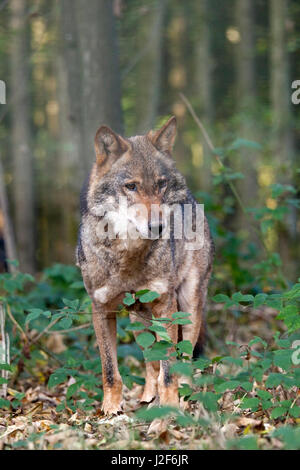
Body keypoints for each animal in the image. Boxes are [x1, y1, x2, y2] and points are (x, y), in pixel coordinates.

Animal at [76, 117, 214, 418]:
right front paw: (110, 408)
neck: (128, 255)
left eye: (160, 184)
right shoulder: (100, 309)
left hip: (188, 304)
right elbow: (110, 370)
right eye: (131, 187)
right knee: (150, 361)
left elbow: (169, 368)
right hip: (138, 319)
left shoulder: (165, 304)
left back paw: (183, 394)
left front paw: (170, 406)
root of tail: (191, 194)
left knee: (183, 356)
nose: (158, 227)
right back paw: (148, 397)